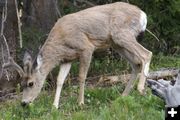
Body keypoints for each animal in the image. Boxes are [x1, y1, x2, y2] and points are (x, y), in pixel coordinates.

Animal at [2, 2, 152, 109]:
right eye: (21, 84)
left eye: (31, 83)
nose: (23, 103)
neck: (60, 41)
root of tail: (143, 15)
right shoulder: (67, 59)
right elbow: (60, 80)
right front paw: (54, 106)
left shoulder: (86, 48)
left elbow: (81, 76)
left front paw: (80, 102)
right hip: (116, 43)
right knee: (136, 63)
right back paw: (122, 96)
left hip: (121, 35)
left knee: (146, 54)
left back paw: (140, 88)